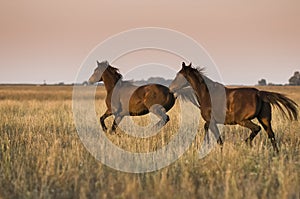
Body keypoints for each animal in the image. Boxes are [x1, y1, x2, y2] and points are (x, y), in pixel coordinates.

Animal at [170, 62, 298, 152]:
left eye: (178, 75)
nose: (171, 88)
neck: (206, 93)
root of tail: (259, 94)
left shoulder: (212, 121)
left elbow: (219, 140)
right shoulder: (210, 122)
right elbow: (207, 131)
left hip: (243, 120)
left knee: (256, 129)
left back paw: (245, 143)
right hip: (265, 119)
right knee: (271, 135)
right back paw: (276, 154)